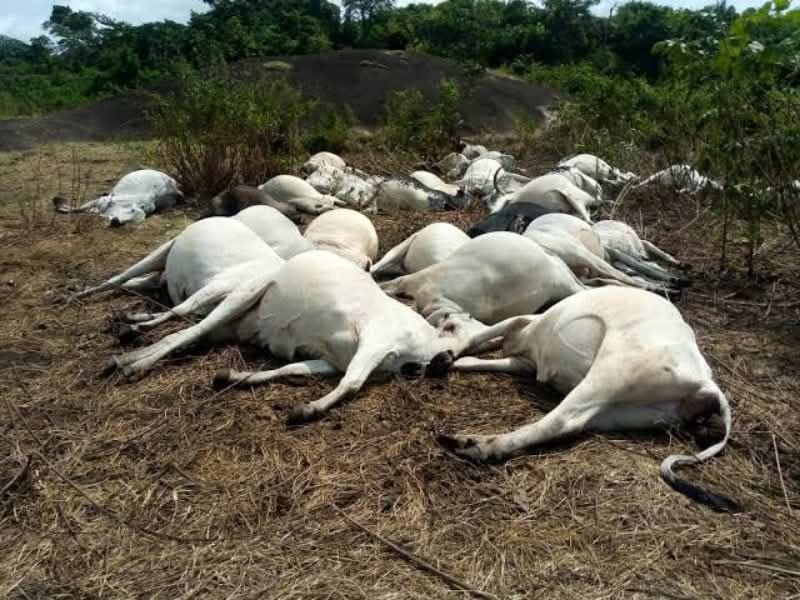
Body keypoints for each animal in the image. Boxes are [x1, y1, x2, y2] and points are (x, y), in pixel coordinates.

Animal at [53, 169, 183, 227]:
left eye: (131, 221)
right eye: (132, 210)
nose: (116, 221)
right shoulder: (101, 201)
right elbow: (77, 208)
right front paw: (59, 204)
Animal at [103, 251, 460, 425]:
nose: (443, 362)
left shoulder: (333, 360)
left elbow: (292, 369)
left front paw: (232, 376)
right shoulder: (375, 339)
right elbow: (352, 383)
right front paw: (307, 410)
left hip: (232, 313)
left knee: (187, 325)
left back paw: (128, 338)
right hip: (242, 295)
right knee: (187, 326)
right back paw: (131, 360)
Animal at [435, 286, 738, 513]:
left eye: (448, 324)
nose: (446, 314)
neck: (521, 342)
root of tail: (705, 382)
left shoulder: (523, 321)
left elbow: (479, 336)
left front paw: (446, 356)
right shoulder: (525, 362)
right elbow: (480, 359)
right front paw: (453, 360)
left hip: (611, 371)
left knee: (558, 421)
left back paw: (476, 444)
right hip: (620, 411)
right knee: (574, 423)